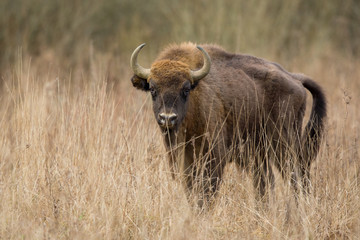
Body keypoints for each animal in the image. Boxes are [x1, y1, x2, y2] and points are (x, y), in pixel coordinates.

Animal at [129, 43, 326, 208]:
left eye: (185, 89)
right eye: (153, 89)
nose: (167, 118)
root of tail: (295, 79)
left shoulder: (214, 158)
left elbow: (207, 192)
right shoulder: (183, 160)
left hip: (284, 147)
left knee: (296, 177)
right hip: (260, 154)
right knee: (266, 181)